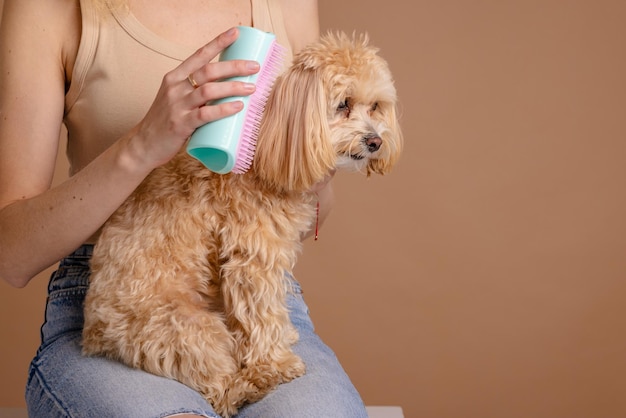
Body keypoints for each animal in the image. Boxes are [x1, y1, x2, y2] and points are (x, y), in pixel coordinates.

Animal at [80, 31, 402, 416]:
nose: (376, 141)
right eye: (343, 105)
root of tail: (93, 332)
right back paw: (251, 383)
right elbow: (260, 314)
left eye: (375, 107)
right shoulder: (252, 258)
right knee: (218, 386)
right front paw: (277, 361)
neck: (265, 145)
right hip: (185, 326)